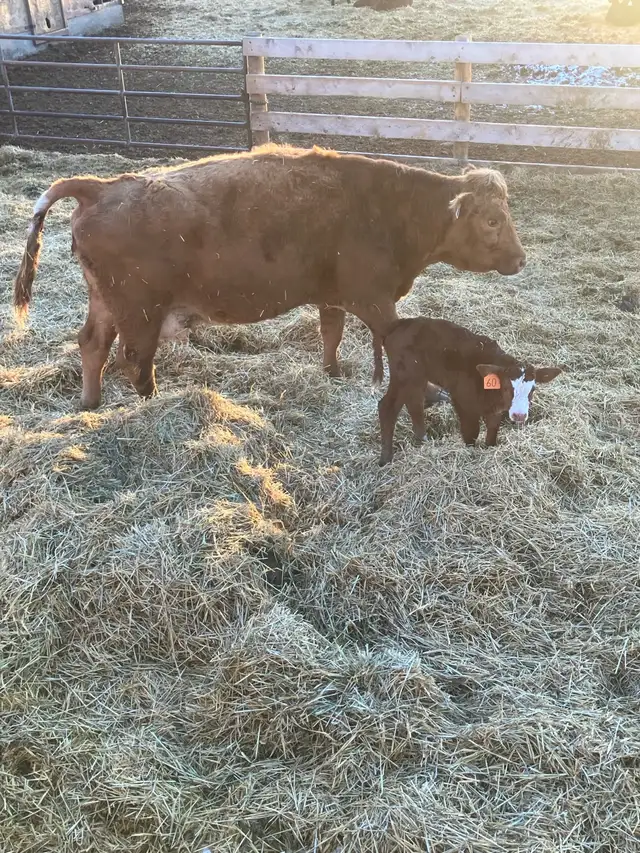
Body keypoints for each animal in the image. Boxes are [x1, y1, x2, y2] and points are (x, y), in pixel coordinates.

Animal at [13, 144, 526, 410]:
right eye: (493, 220)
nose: (520, 259)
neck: (388, 208)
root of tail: (101, 187)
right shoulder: (374, 299)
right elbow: (397, 343)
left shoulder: (333, 296)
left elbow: (331, 334)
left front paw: (333, 372)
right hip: (140, 311)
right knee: (133, 357)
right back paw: (151, 398)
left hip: (106, 302)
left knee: (93, 345)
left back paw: (90, 403)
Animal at [378, 317, 561, 465]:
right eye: (507, 387)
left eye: (533, 389)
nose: (519, 415)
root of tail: (399, 324)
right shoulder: (463, 403)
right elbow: (471, 433)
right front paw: (470, 454)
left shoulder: (494, 412)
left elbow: (492, 432)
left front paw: (489, 448)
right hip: (405, 376)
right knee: (387, 406)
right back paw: (386, 459)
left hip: (417, 378)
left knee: (414, 403)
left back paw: (423, 440)